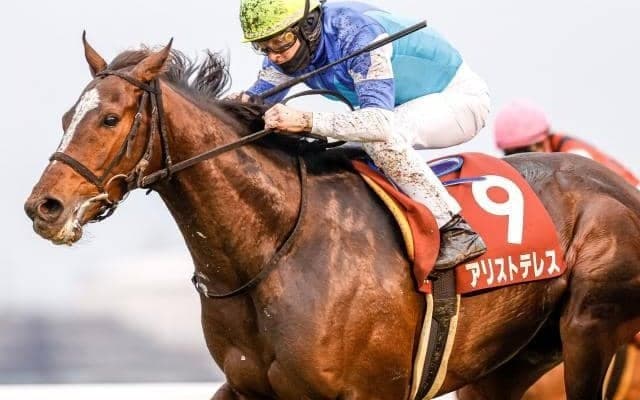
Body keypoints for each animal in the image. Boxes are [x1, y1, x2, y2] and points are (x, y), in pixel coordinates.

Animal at [24, 38, 640, 400]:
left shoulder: (370, 393)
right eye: (66, 116)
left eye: (108, 118)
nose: (43, 207)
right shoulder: (246, 389)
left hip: (588, 329)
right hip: (507, 368)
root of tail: (619, 189)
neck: (273, 249)